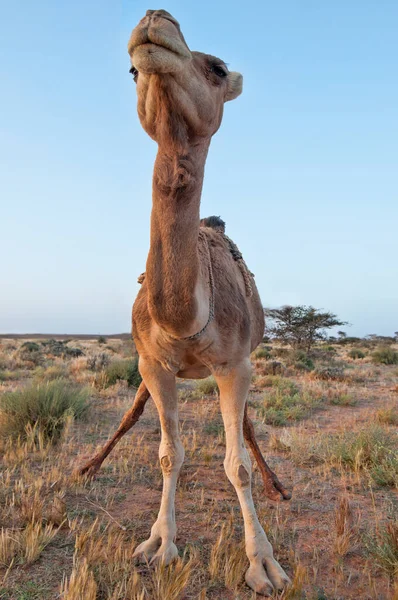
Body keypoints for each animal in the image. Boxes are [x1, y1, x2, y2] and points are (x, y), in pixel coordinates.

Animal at [80, 9, 292, 596]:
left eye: (217, 68)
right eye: (132, 72)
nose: (156, 19)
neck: (186, 314)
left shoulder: (236, 364)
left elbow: (236, 463)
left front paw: (262, 562)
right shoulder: (153, 363)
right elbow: (167, 454)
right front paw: (158, 544)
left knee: (246, 434)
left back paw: (276, 486)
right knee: (135, 414)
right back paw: (89, 466)